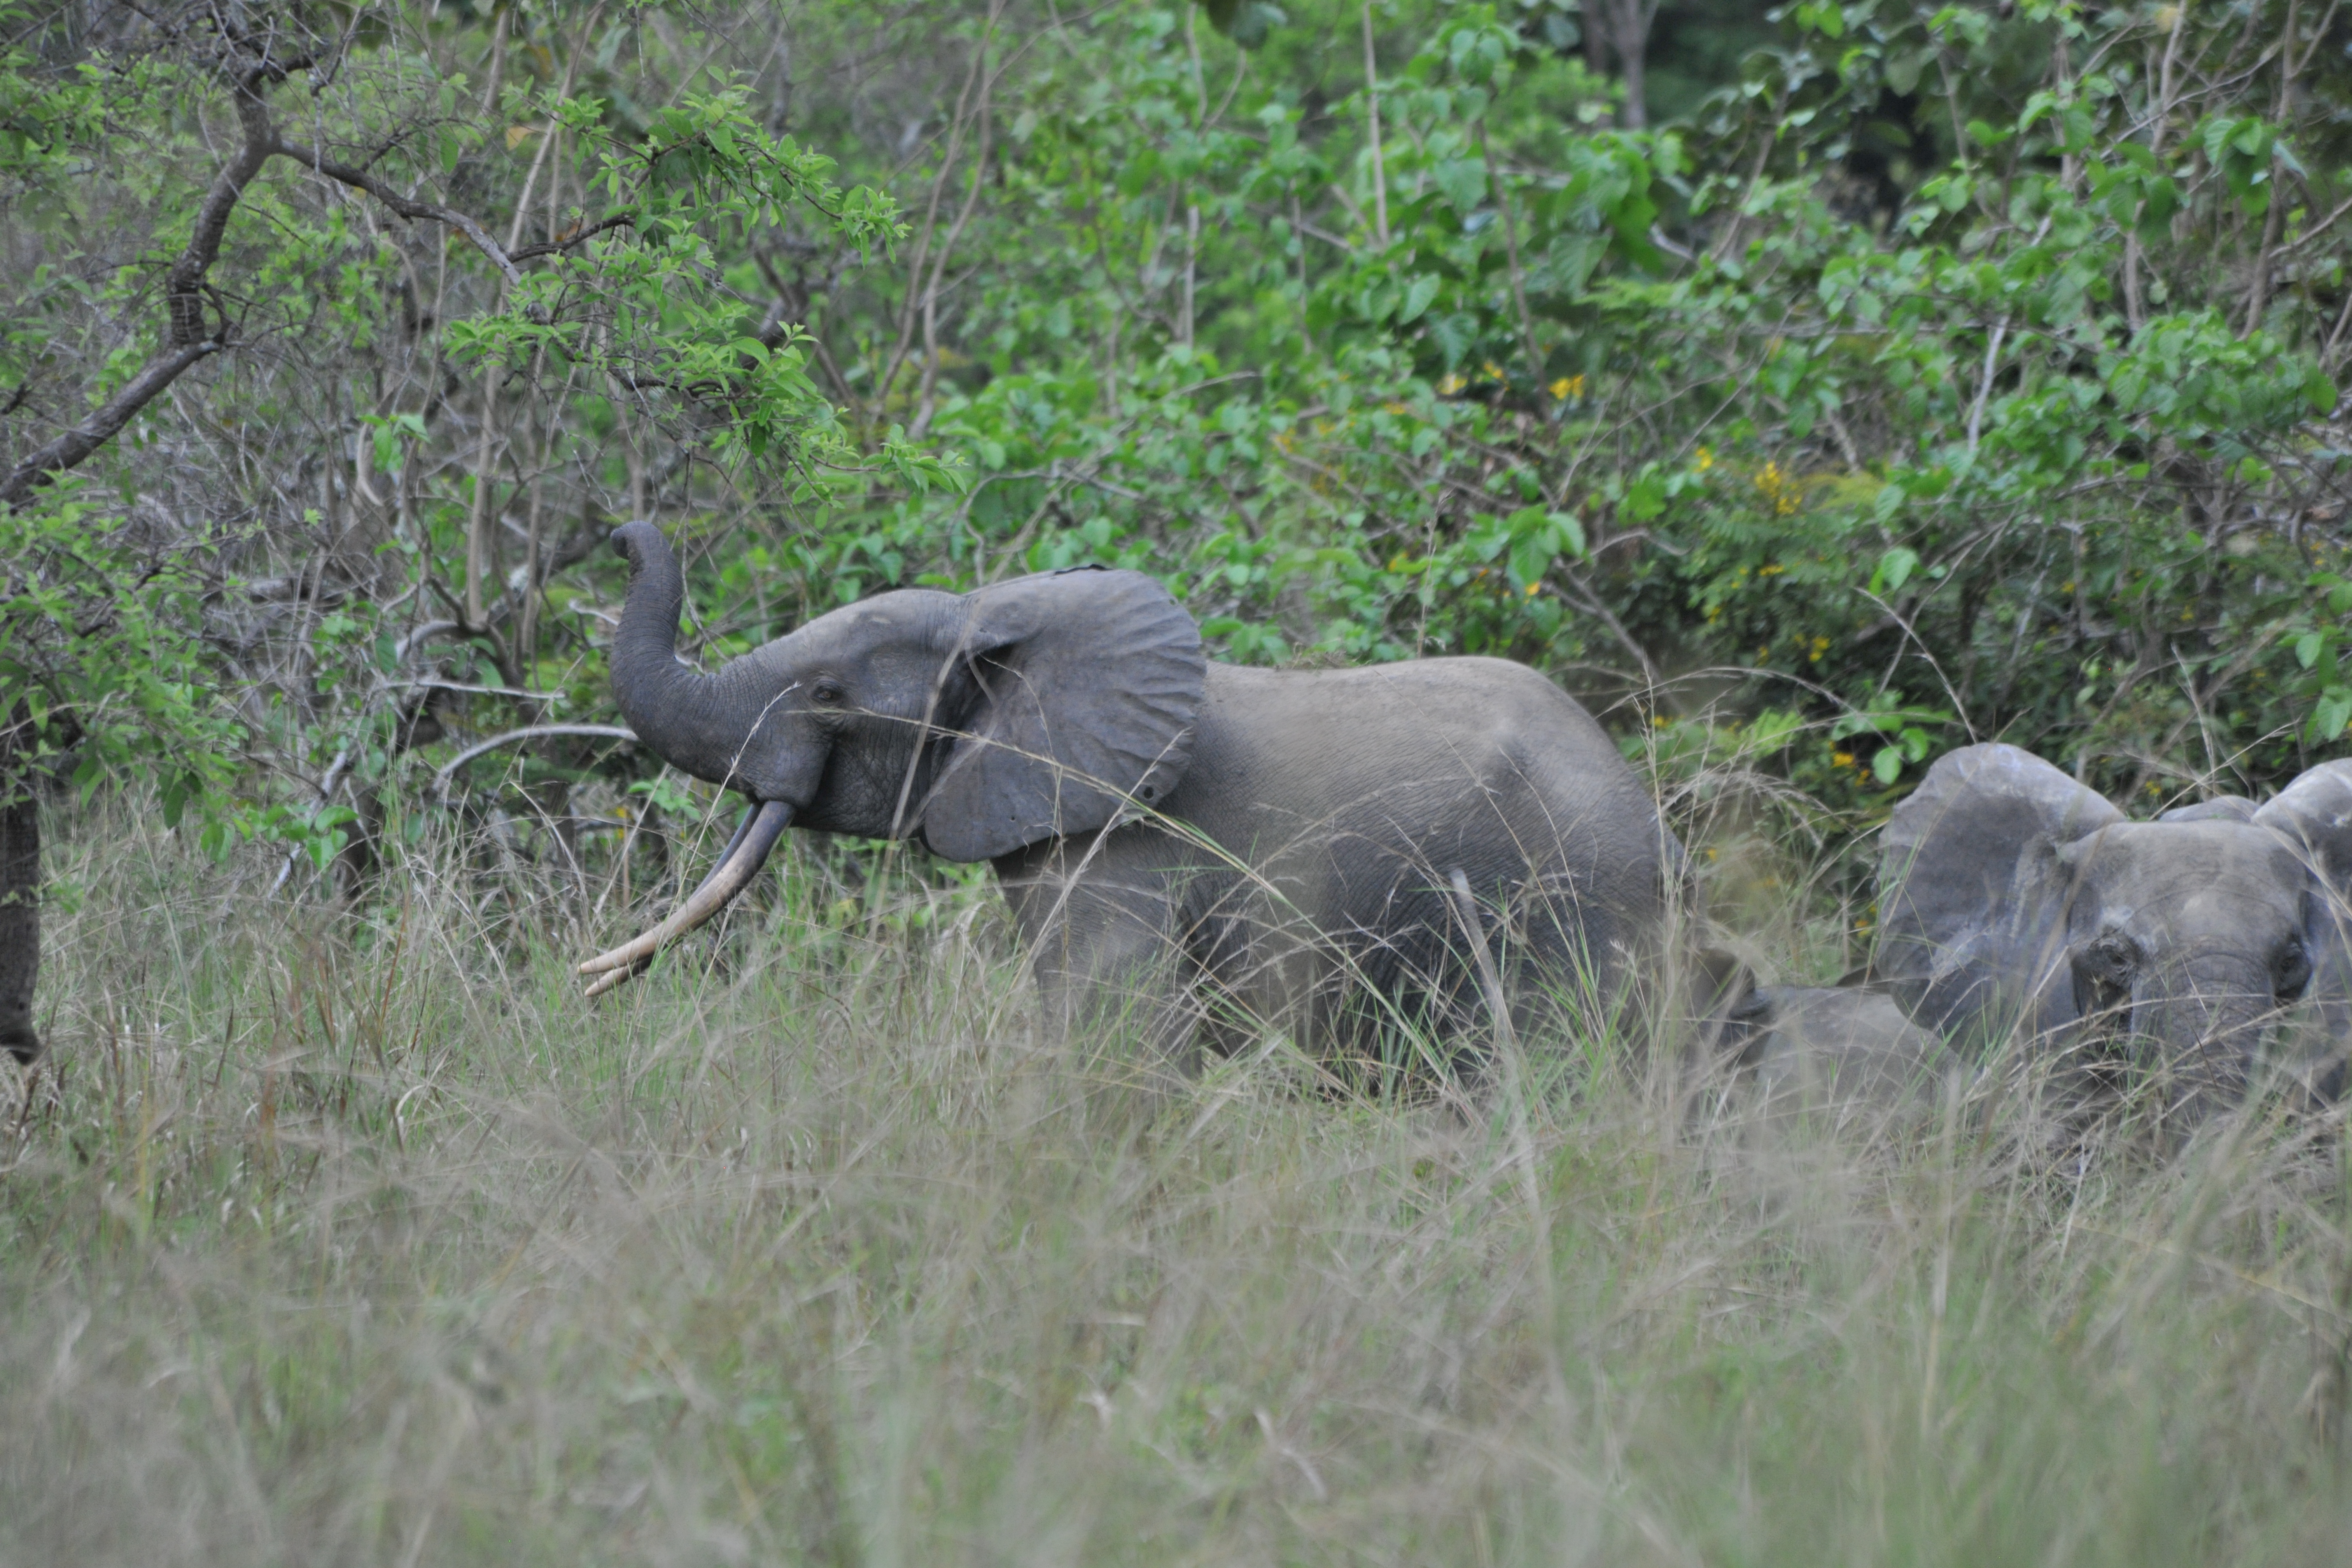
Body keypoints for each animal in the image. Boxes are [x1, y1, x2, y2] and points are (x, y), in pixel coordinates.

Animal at [579, 523, 1724, 1068]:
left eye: (826, 695)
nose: (617, 533)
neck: (996, 619)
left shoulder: (1123, 849)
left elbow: (1121, 1041)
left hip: (1576, 911)